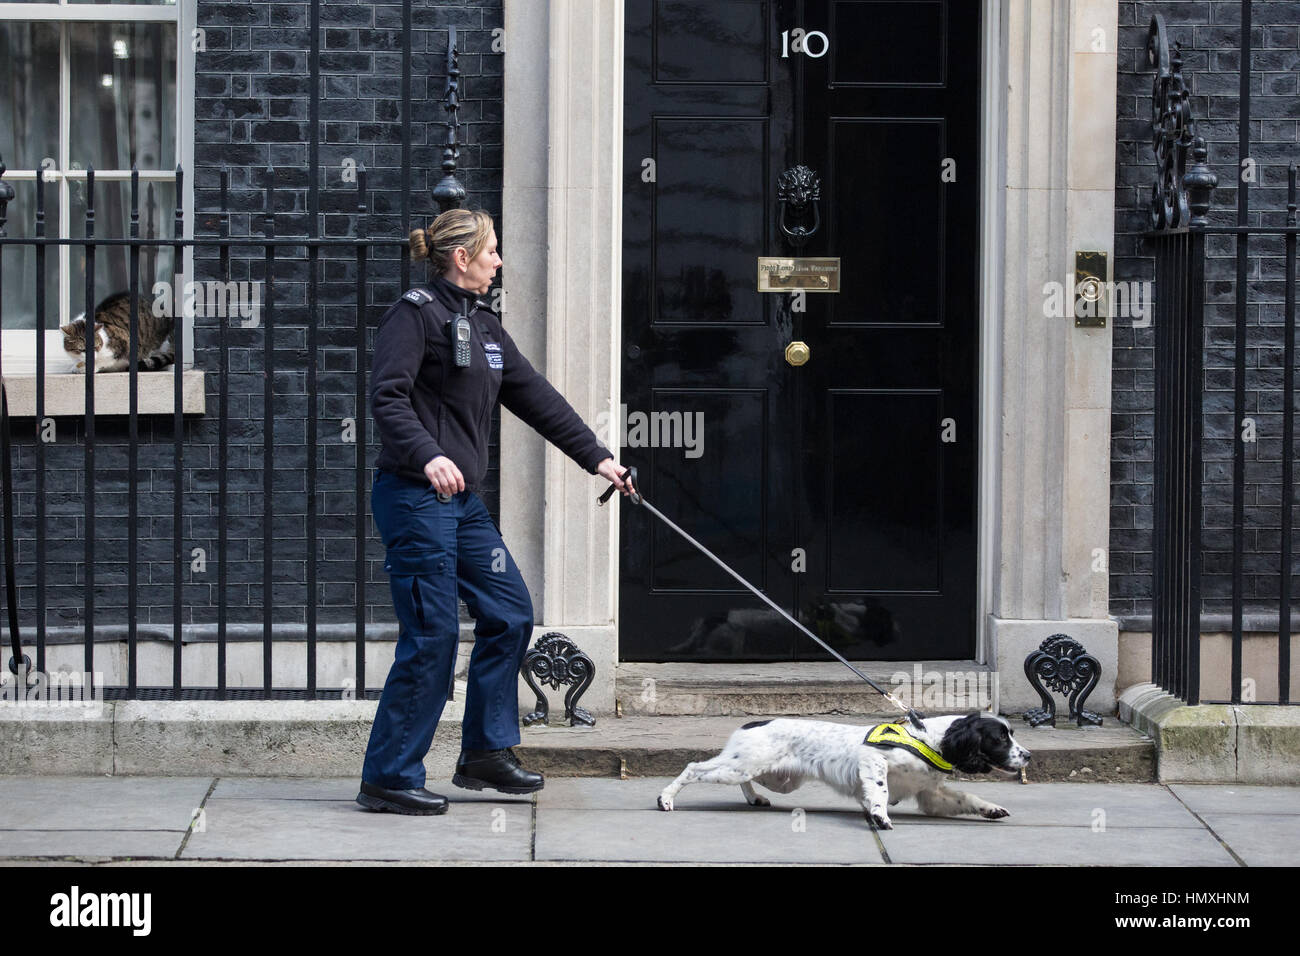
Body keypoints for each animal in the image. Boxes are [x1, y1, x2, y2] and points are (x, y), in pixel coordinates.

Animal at [660, 712, 1034, 832]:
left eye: (1010, 734)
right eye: (1001, 738)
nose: (1028, 756)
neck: (929, 739)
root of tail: (753, 723)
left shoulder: (930, 793)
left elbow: (967, 796)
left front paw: (991, 809)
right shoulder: (874, 760)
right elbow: (880, 790)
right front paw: (879, 816)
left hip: (776, 776)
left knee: (746, 782)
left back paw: (755, 799)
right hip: (742, 766)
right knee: (694, 768)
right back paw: (666, 798)